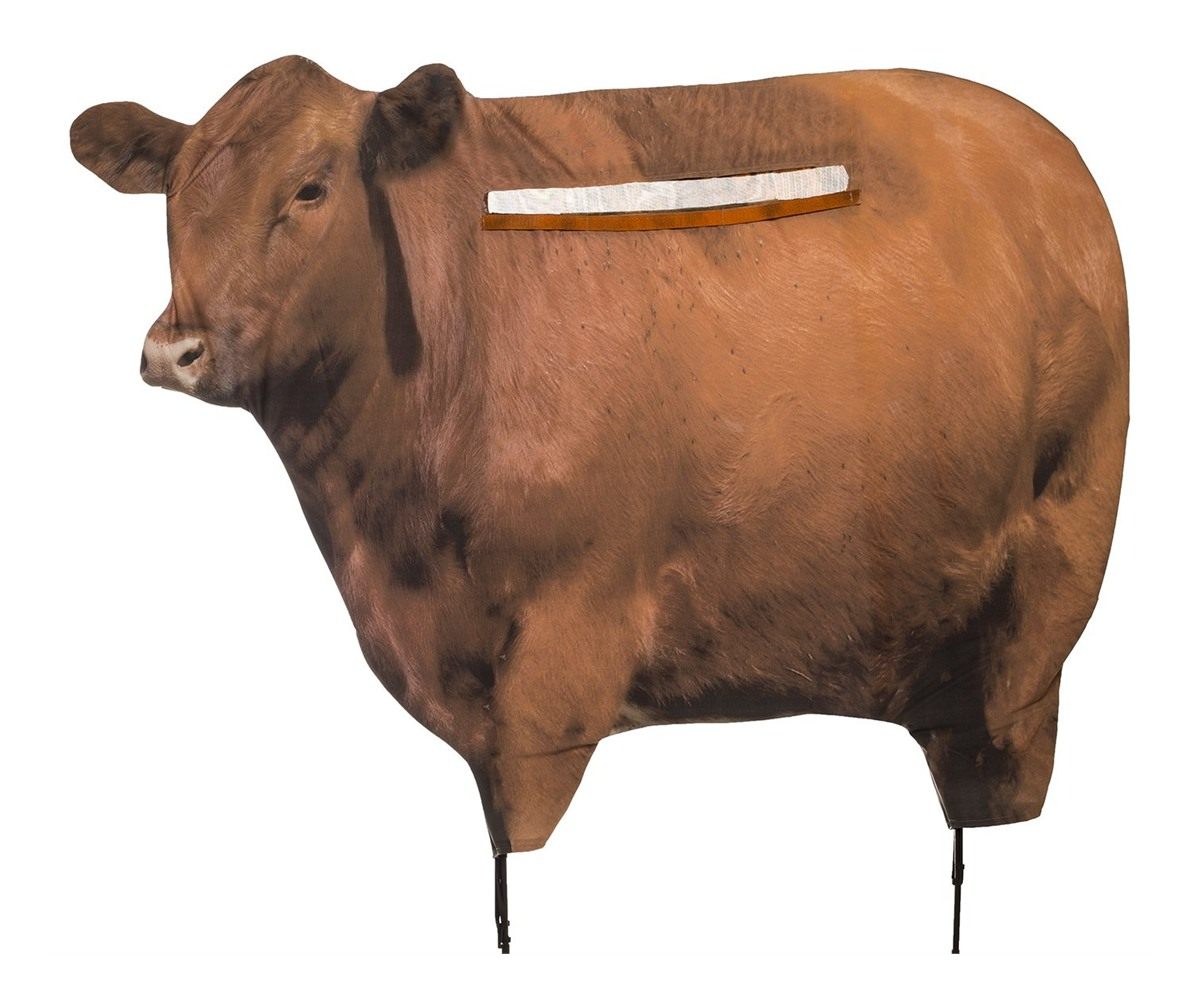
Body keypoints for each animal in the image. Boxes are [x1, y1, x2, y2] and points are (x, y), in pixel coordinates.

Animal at [70, 55, 1128, 953]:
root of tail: (1050, 152)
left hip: (1048, 584)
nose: (175, 348)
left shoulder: (570, 637)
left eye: (310, 188)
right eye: (173, 195)